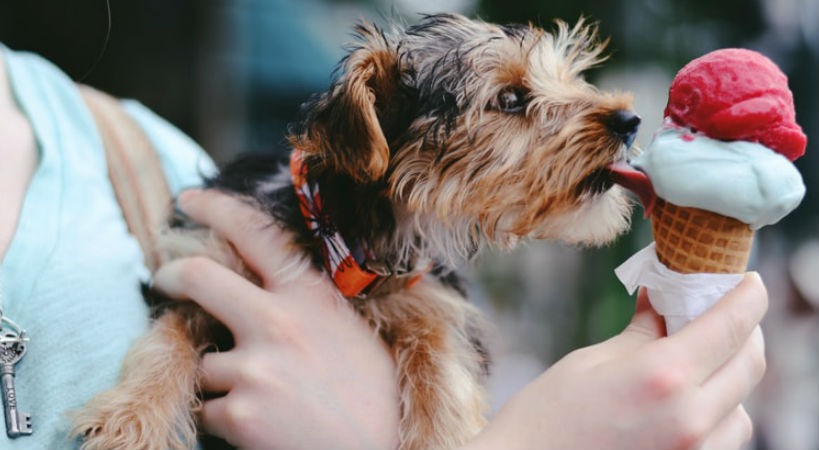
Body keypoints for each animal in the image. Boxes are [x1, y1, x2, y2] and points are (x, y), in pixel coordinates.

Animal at [70, 13, 640, 450]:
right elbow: (168, 337)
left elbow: (440, 356)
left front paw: (440, 431)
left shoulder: (430, 295)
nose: (630, 121)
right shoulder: (202, 259)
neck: (343, 234)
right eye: (511, 99)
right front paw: (133, 419)